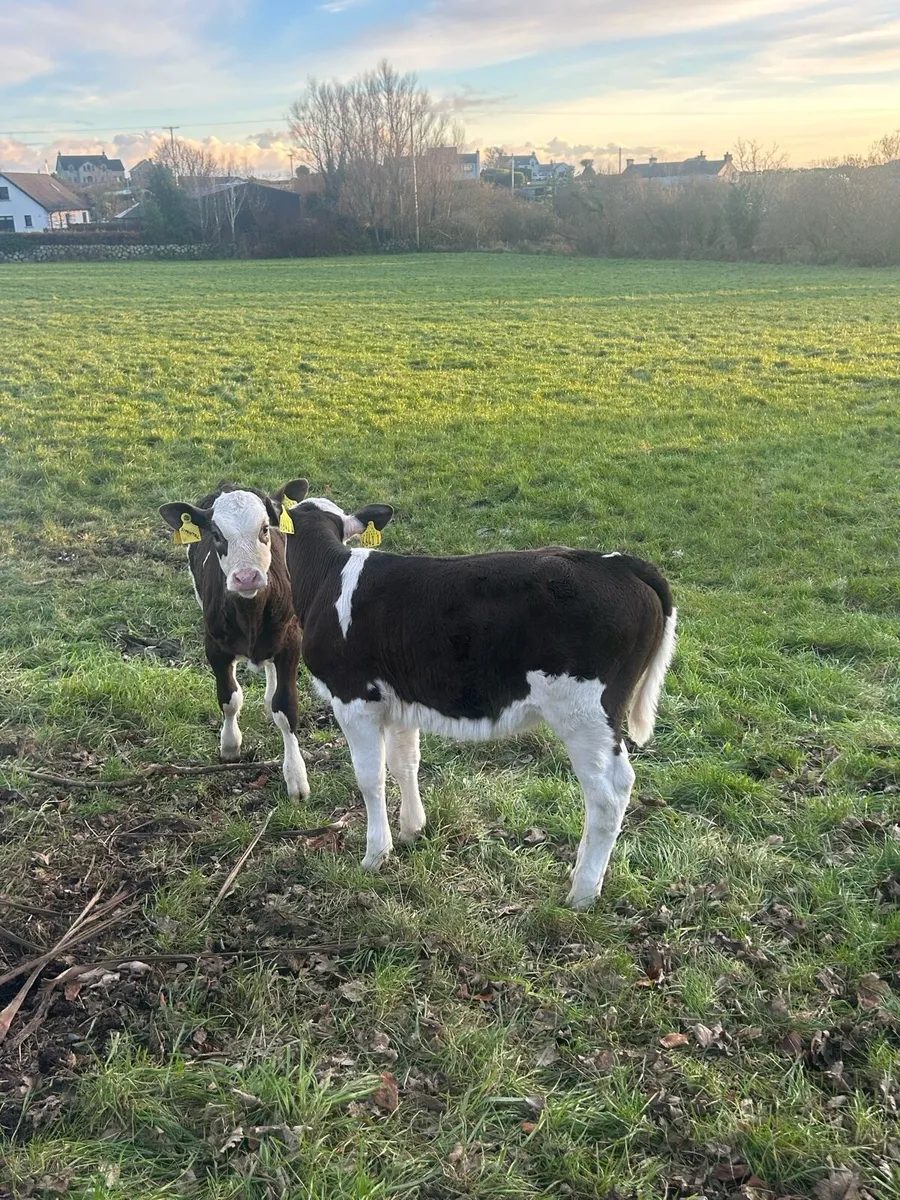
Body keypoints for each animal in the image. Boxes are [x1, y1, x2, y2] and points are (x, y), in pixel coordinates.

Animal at [159, 483, 309, 801]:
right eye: (217, 534)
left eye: (264, 529)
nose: (246, 577)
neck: (250, 613)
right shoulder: (214, 646)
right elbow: (229, 698)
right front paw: (229, 744)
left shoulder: (291, 640)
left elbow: (286, 707)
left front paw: (296, 778)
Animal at [274, 479, 676, 909]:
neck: (327, 580)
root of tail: (618, 562)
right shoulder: (398, 700)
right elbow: (404, 763)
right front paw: (412, 830)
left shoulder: (353, 698)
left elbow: (370, 777)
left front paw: (374, 856)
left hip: (586, 715)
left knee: (609, 793)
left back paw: (582, 893)